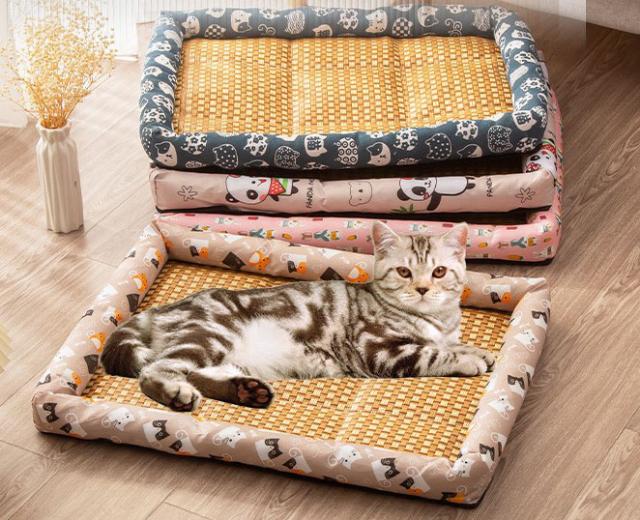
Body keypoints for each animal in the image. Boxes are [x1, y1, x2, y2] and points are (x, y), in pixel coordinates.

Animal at [100, 222, 494, 412]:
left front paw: (478, 351)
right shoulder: (380, 349)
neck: (436, 320)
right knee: (157, 370)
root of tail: (161, 308)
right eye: (404, 272)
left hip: (225, 355)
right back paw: (175, 393)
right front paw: (467, 359)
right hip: (210, 333)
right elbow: (432, 353)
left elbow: (449, 344)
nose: (424, 289)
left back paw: (246, 392)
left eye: (439, 272)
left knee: (198, 374)